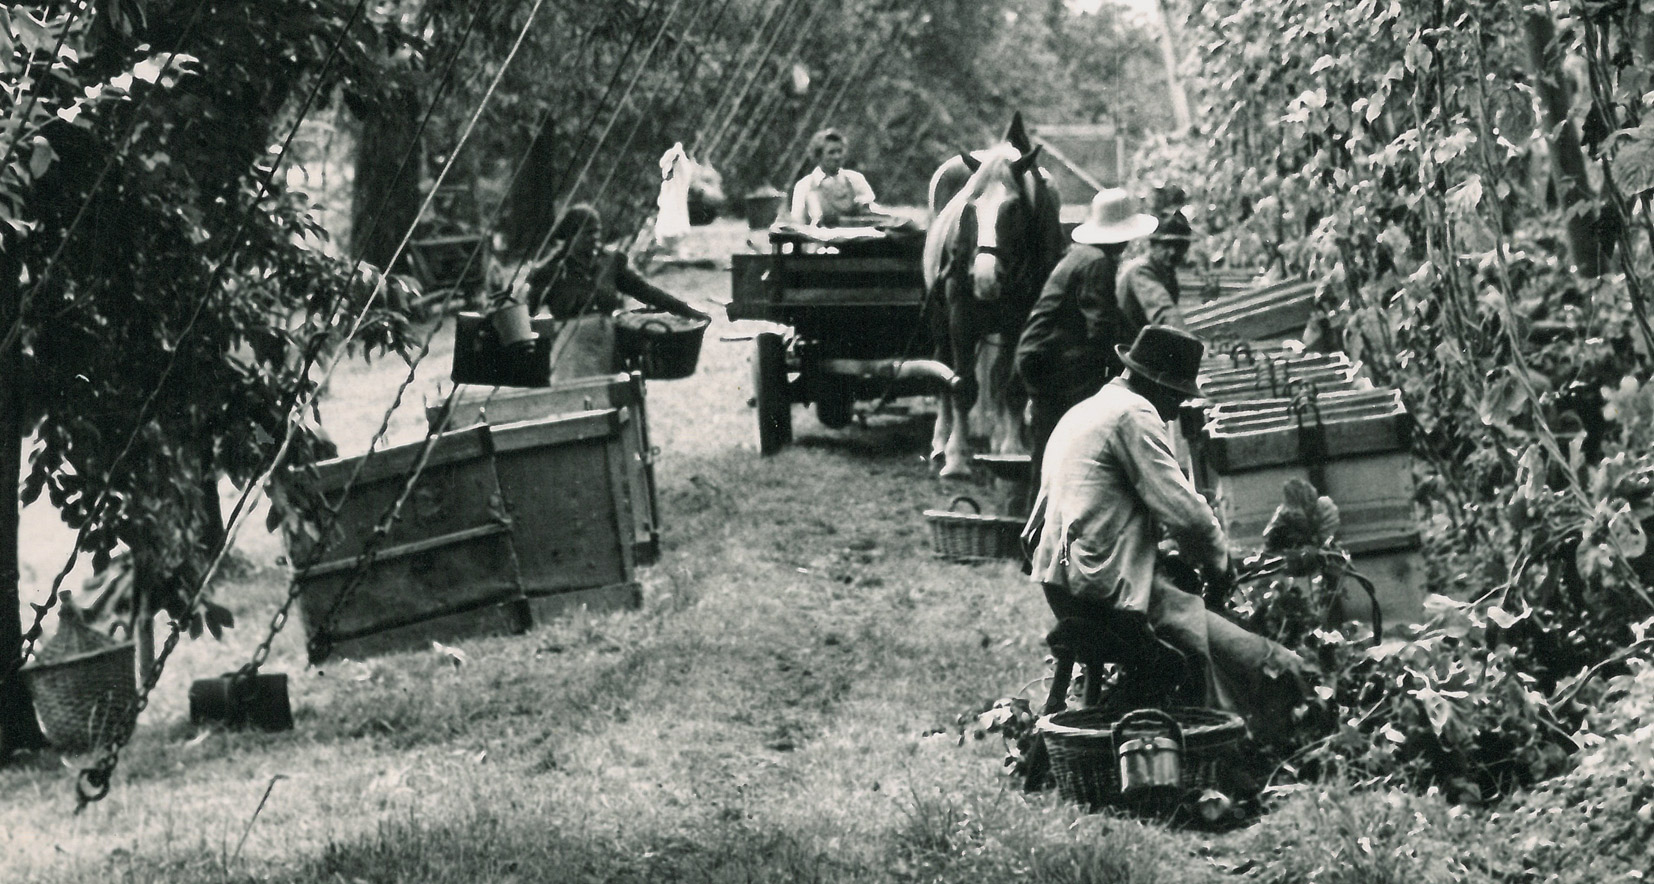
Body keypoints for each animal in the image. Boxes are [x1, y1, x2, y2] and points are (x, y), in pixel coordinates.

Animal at [926, 117, 1065, 483]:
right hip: (940, 321)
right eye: (971, 205)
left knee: (999, 374)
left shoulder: (1023, 322)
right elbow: (962, 387)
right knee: (943, 370)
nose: (985, 276)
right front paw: (956, 459)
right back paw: (940, 441)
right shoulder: (960, 318)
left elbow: (1012, 385)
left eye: (1013, 208)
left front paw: (1012, 448)